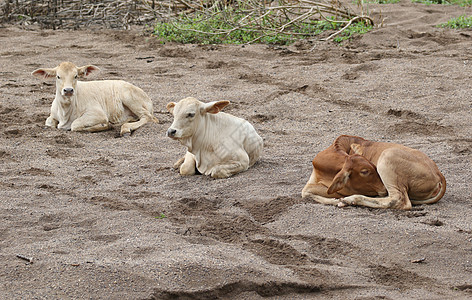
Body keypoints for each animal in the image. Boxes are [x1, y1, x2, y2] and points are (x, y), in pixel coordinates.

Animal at [302, 135, 446, 210]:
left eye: (372, 167)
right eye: (365, 171)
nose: (382, 188)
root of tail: (438, 174)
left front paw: (341, 201)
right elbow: (306, 193)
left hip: (388, 156)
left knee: (399, 200)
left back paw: (351, 199)